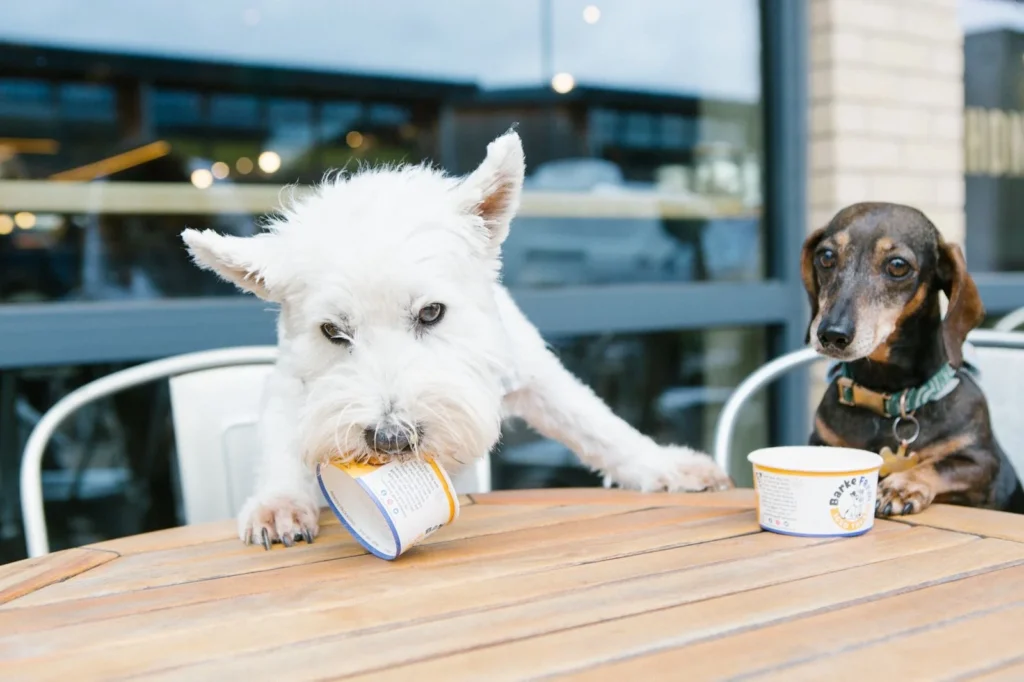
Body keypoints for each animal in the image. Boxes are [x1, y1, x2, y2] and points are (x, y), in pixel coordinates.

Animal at [182, 129, 729, 548]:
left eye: (431, 312)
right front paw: (278, 505)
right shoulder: (292, 379)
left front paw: (666, 465)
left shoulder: (531, 371)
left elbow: (594, 422)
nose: (391, 440)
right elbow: (282, 439)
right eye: (332, 332)